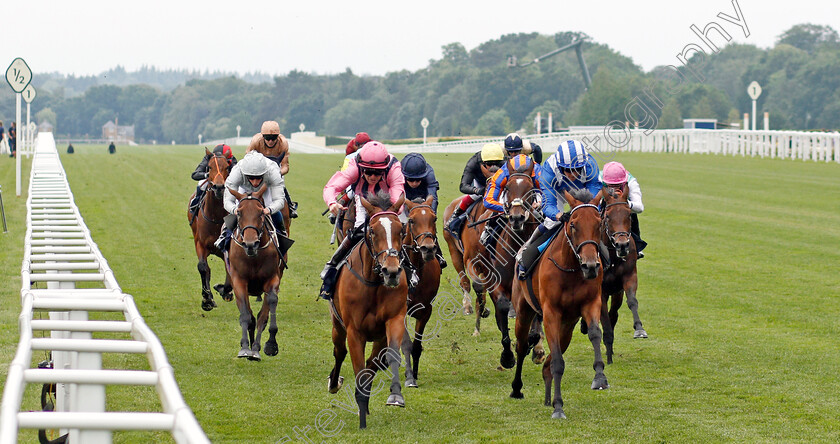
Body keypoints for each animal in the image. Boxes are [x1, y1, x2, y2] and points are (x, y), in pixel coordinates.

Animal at [189, 147, 231, 310]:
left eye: (227, 167)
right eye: (209, 167)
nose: (218, 187)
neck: (215, 216)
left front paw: (225, 291)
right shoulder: (200, 243)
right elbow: (202, 267)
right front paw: (207, 299)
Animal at [225, 185, 290, 360]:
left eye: (261, 213)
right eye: (239, 213)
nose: (250, 244)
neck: (254, 256)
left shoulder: (272, 279)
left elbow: (265, 313)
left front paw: (265, 346)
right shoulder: (239, 281)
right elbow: (246, 316)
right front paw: (245, 348)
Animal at [326, 193, 408, 428]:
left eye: (401, 230)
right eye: (372, 231)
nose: (391, 271)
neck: (373, 282)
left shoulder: (394, 320)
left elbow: (387, 358)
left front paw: (395, 396)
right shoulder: (355, 332)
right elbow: (358, 367)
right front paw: (361, 407)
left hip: (379, 337)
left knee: (374, 362)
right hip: (337, 326)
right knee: (340, 351)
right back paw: (334, 383)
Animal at [508, 189, 608, 418]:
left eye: (599, 224)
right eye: (573, 225)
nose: (590, 266)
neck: (571, 268)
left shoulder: (591, 303)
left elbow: (594, 334)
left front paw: (599, 377)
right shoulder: (551, 313)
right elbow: (558, 363)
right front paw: (559, 408)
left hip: (567, 327)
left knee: (550, 360)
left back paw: (548, 398)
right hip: (524, 311)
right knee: (521, 346)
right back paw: (517, 389)